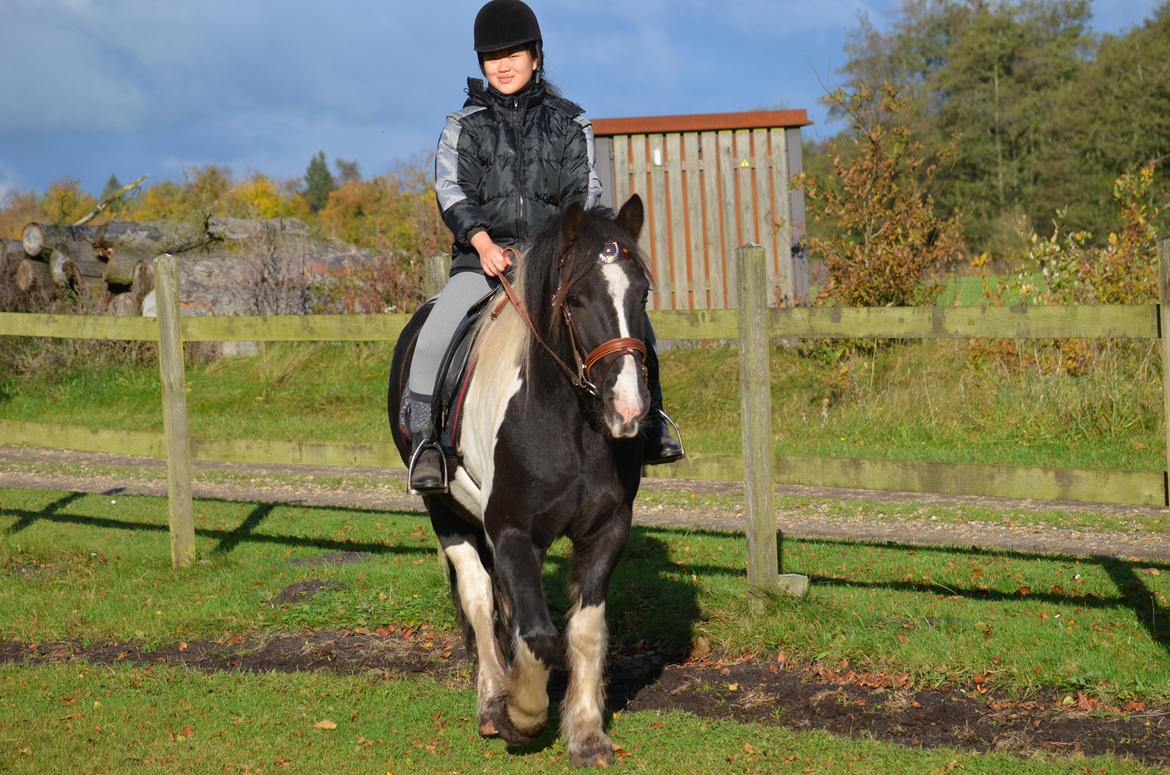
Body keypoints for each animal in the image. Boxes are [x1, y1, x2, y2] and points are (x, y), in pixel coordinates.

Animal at [388, 195, 655, 772]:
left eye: (642, 294)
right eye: (575, 300)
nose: (627, 409)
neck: (569, 425)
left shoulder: (607, 530)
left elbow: (583, 631)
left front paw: (587, 733)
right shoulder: (511, 532)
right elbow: (536, 634)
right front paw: (522, 714)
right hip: (445, 511)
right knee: (478, 595)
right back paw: (493, 700)